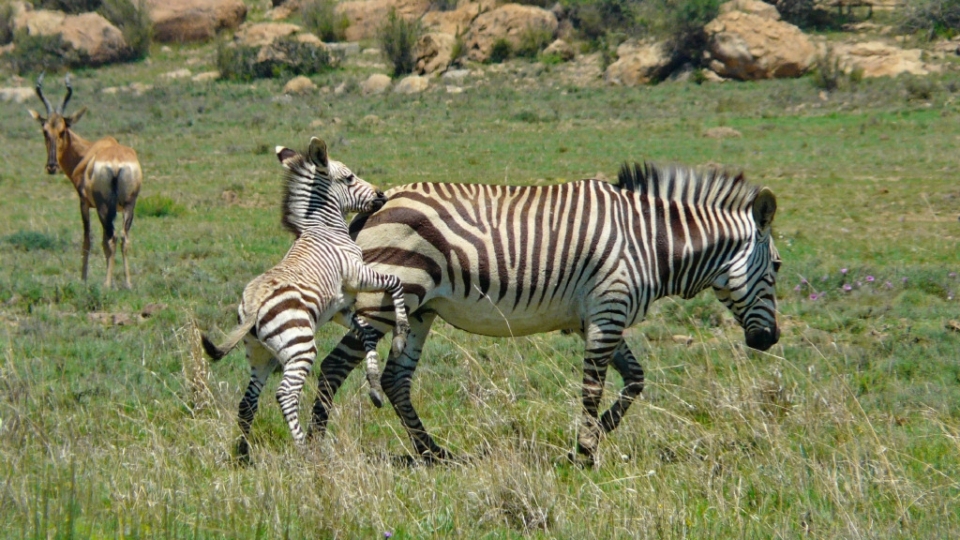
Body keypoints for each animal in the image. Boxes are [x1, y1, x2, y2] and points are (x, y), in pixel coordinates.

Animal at [28, 74, 142, 288]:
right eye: (45, 130)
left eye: (63, 130)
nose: (52, 166)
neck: (89, 151)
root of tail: (116, 163)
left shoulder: (84, 203)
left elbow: (87, 240)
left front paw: (83, 279)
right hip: (129, 205)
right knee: (124, 238)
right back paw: (128, 284)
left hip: (104, 206)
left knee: (112, 238)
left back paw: (106, 284)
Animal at [201, 137, 410, 458]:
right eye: (349, 178)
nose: (381, 195)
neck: (324, 229)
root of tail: (254, 304)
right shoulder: (358, 274)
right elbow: (395, 283)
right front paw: (400, 334)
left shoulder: (340, 307)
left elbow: (366, 334)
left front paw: (374, 387)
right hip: (299, 345)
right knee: (285, 394)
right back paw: (307, 454)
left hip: (260, 355)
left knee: (248, 402)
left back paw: (244, 455)